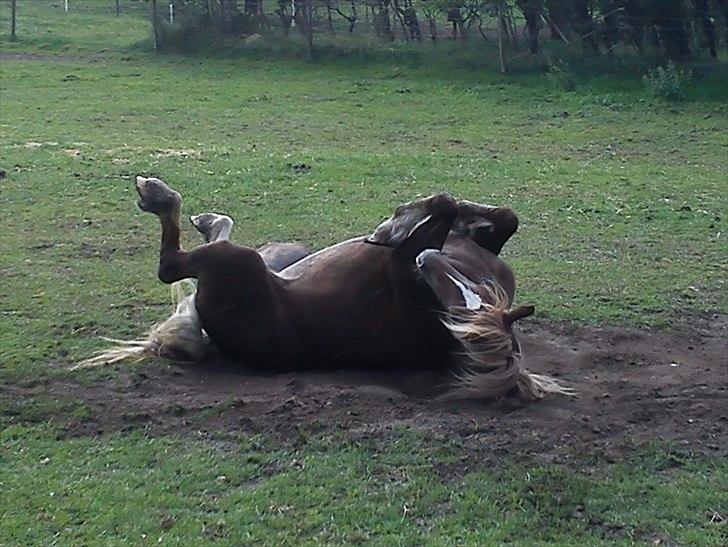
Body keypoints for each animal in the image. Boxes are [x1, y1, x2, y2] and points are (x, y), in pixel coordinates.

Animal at [78, 177, 568, 402]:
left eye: (465, 314)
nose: (424, 263)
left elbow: (444, 206)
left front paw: (393, 225)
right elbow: (497, 215)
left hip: (239, 263)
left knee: (172, 267)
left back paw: (159, 196)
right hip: (281, 255)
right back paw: (206, 218)